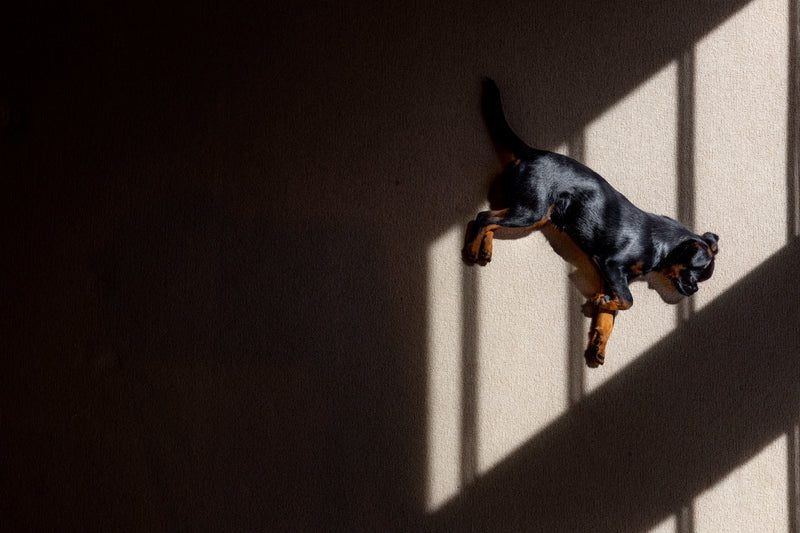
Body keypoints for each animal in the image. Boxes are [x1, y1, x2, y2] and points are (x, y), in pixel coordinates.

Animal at [462, 79, 720, 368]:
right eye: (694, 273)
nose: (695, 289)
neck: (660, 245)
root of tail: (533, 153)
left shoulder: (610, 279)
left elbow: (608, 319)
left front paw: (598, 342)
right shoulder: (611, 265)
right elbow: (628, 301)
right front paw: (601, 303)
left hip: (533, 212)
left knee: (491, 220)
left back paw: (485, 249)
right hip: (530, 211)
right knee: (483, 217)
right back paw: (472, 249)